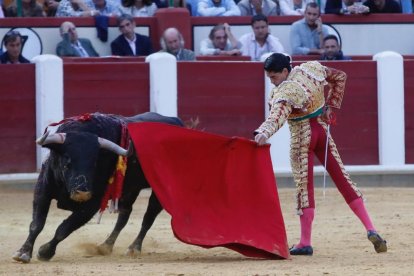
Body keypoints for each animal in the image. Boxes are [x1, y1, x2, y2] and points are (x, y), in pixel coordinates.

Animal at [12, 112, 184, 264]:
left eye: (95, 162)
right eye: (67, 161)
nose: (82, 193)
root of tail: (178, 123)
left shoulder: (91, 205)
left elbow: (64, 228)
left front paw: (45, 252)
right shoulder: (43, 190)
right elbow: (37, 224)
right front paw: (23, 253)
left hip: (160, 190)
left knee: (148, 217)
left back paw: (134, 248)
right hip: (131, 188)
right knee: (124, 215)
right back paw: (105, 246)